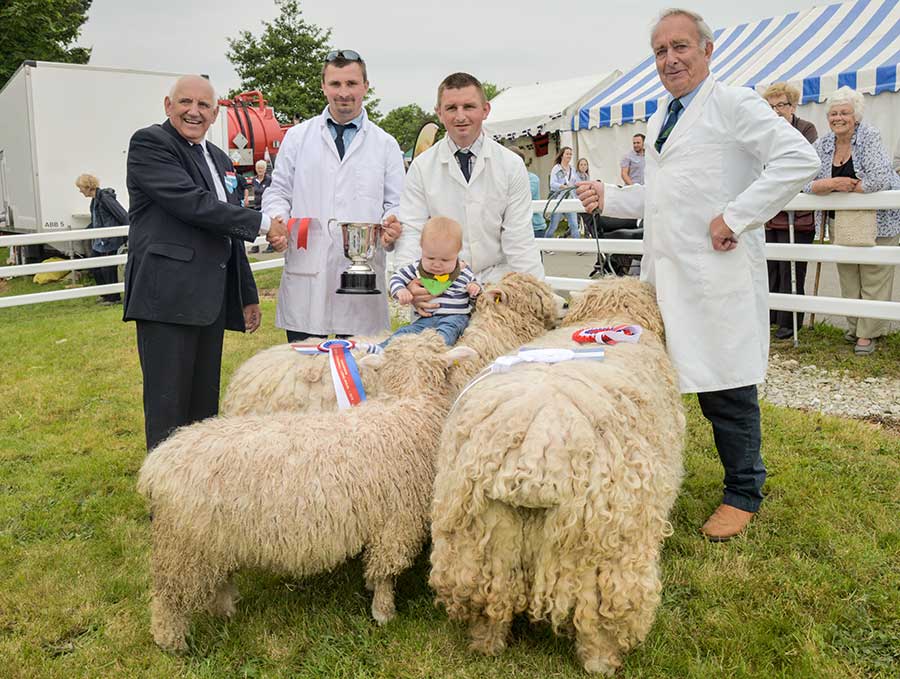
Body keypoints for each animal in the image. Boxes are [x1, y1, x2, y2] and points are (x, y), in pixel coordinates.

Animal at [137, 332, 474, 656]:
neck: (408, 406)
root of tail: (158, 463)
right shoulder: (395, 523)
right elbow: (385, 572)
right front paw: (384, 612)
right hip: (183, 547)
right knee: (168, 597)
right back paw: (172, 643)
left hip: (213, 541)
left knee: (219, 578)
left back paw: (225, 609)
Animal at [428, 276, 684, 676]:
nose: (562, 306)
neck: (609, 317)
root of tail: (537, 449)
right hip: (603, 548)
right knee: (599, 618)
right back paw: (602, 662)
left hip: (478, 539)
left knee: (490, 603)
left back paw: (486, 643)